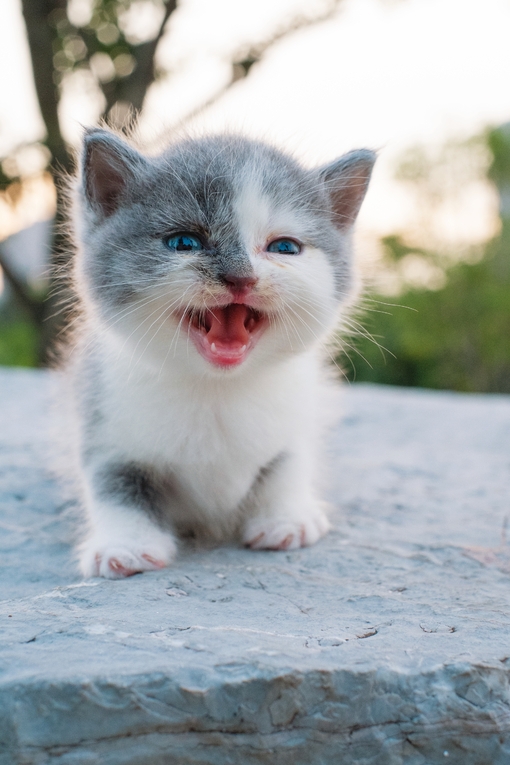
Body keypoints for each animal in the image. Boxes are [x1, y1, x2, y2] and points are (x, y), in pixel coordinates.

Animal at [68, 128, 374, 576]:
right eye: (184, 242)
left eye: (284, 247)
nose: (241, 277)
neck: (216, 388)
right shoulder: (104, 417)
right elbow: (114, 485)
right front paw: (126, 545)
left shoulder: (297, 413)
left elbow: (288, 462)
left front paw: (286, 518)